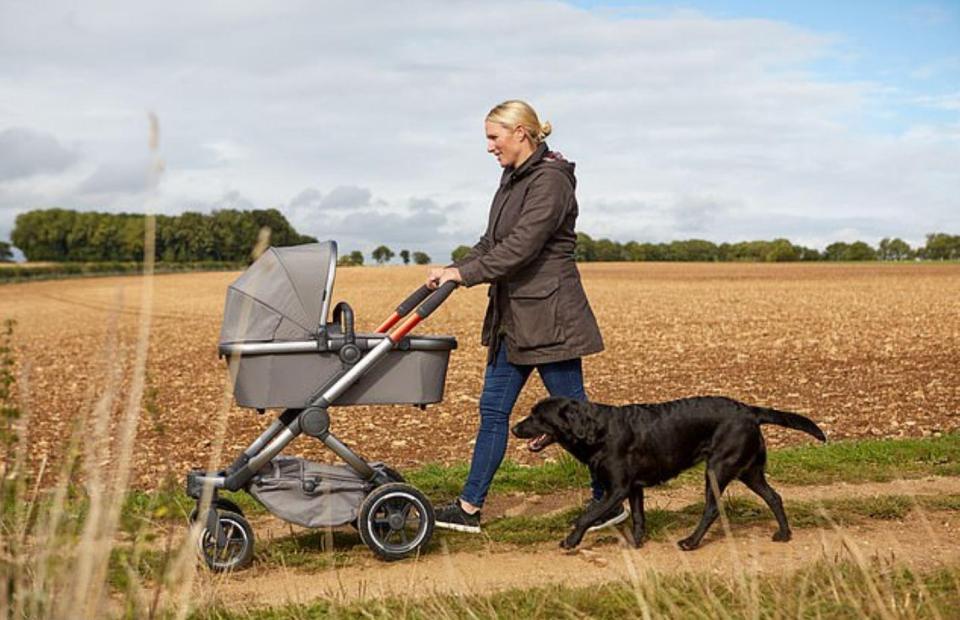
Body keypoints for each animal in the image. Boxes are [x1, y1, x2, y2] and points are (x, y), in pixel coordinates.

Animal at [510, 394, 824, 548]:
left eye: (538, 416)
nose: (513, 428)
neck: (597, 430)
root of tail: (749, 410)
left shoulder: (617, 489)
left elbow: (585, 516)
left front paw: (570, 541)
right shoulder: (633, 488)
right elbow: (638, 517)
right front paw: (636, 543)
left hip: (718, 467)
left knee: (712, 508)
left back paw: (691, 543)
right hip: (749, 471)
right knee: (774, 497)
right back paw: (784, 534)